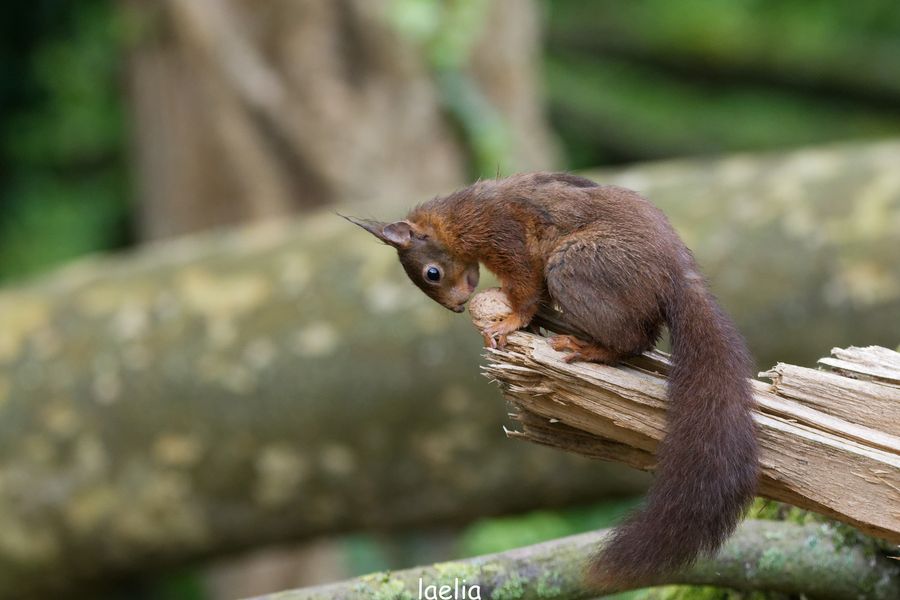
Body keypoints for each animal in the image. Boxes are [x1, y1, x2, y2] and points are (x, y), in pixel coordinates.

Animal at [344, 171, 760, 588]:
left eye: (433, 273)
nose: (458, 306)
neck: (459, 218)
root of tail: (677, 274)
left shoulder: (505, 236)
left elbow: (526, 285)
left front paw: (511, 320)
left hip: (573, 264)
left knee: (630, 338)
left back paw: (588, 349)